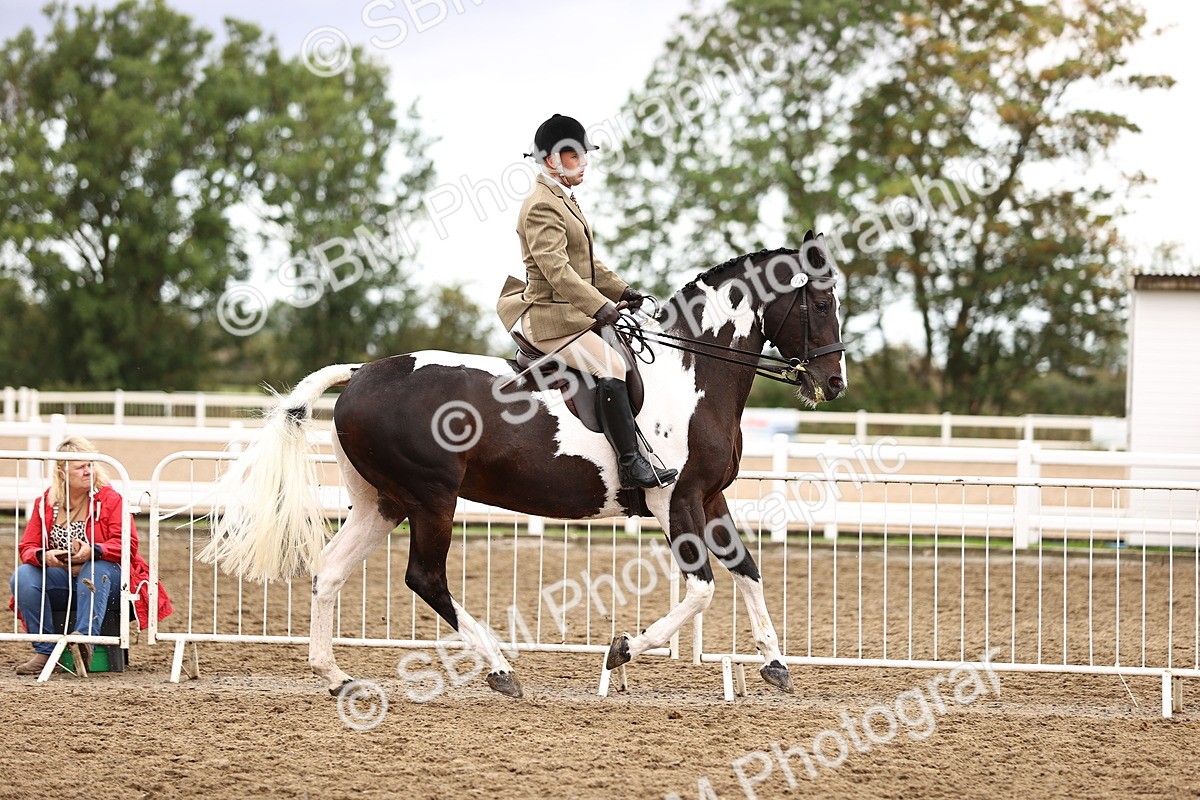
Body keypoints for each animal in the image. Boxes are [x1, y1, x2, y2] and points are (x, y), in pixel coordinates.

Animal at [203, 231, 847, 698]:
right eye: (820, 302)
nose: (833, 383)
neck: (692, 375)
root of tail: (363, 373)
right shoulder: (676, 499)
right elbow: (701, 590)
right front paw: (622, 652)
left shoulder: (711, 498)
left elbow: (747, 571)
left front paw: (775, 664)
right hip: (431, 497)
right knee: (425, 578)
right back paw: (499, 669)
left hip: (383, 501)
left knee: (331, 569)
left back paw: (336, 676)